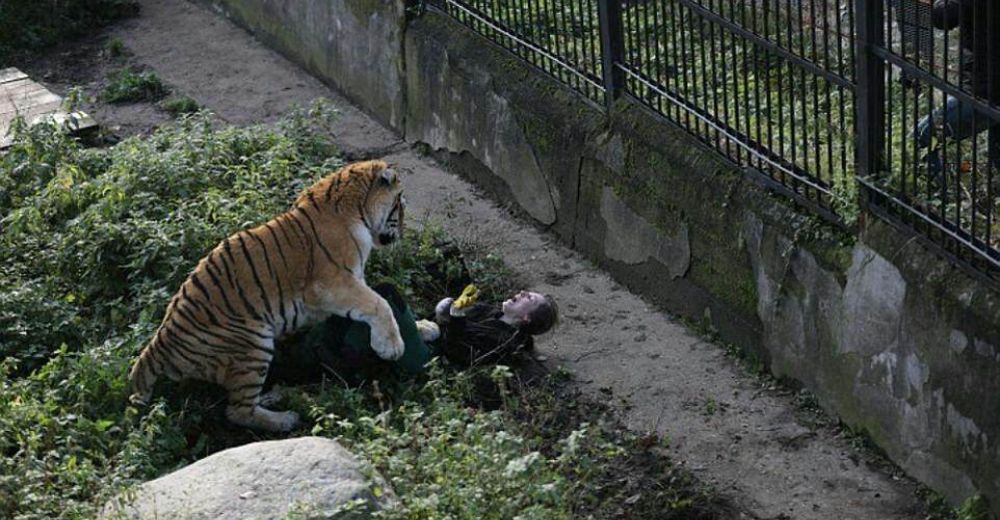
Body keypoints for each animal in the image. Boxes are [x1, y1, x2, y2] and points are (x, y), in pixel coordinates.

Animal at [128, 158, 406, 430]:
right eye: (400, 204)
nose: (403, 231)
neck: (357, 207)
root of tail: (158, 344)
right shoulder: (331, 283)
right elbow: (378, 303)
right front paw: (392, 347)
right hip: (253, 344)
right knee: (238, 411)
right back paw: (286, 419)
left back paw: (276, 395)